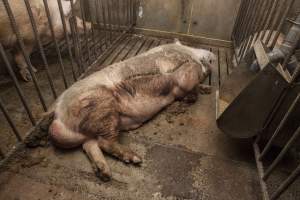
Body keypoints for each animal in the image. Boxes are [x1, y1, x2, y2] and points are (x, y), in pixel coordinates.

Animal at [48, 39, 216, 180]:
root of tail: (58, 114)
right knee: (104, 142)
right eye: (210, 60)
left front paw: (207, 89)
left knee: (90, 145)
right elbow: (190, 84)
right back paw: (135, 159)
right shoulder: (185, 71)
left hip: (91, 128)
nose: (212, 55)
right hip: (103, 107)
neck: (189, 53)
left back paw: (104, 173)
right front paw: (194, 94)